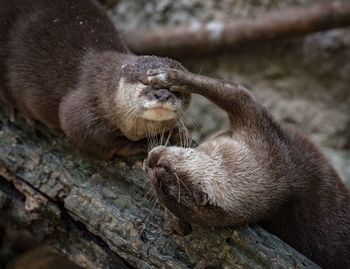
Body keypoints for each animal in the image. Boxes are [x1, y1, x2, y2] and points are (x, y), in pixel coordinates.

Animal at [0, 0, 190, 158]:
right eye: (145, 81)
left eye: (177, 88)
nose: (162, 95)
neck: (106, 94)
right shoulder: (79, 114)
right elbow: (96, 140)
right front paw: (141, 144)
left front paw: (177, 133)